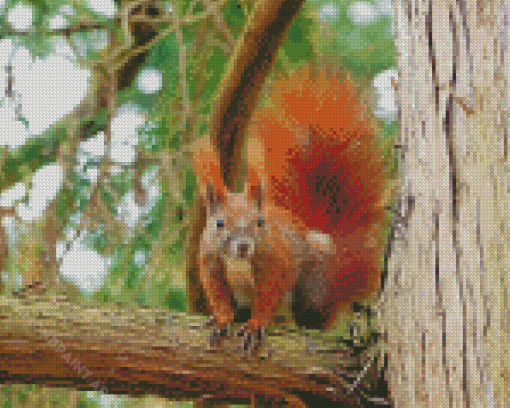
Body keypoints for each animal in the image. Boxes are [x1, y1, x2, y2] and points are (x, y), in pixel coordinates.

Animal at [193, 67, 388, 348]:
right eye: (219, 223)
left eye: (260, 222)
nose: (244, 246)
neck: (238, 262)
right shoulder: (210, 261)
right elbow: (218, 295)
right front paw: (221, 319)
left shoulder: (277, 260)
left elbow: (269, 295)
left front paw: (255, 325)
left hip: (314, 284)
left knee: (315, 316)